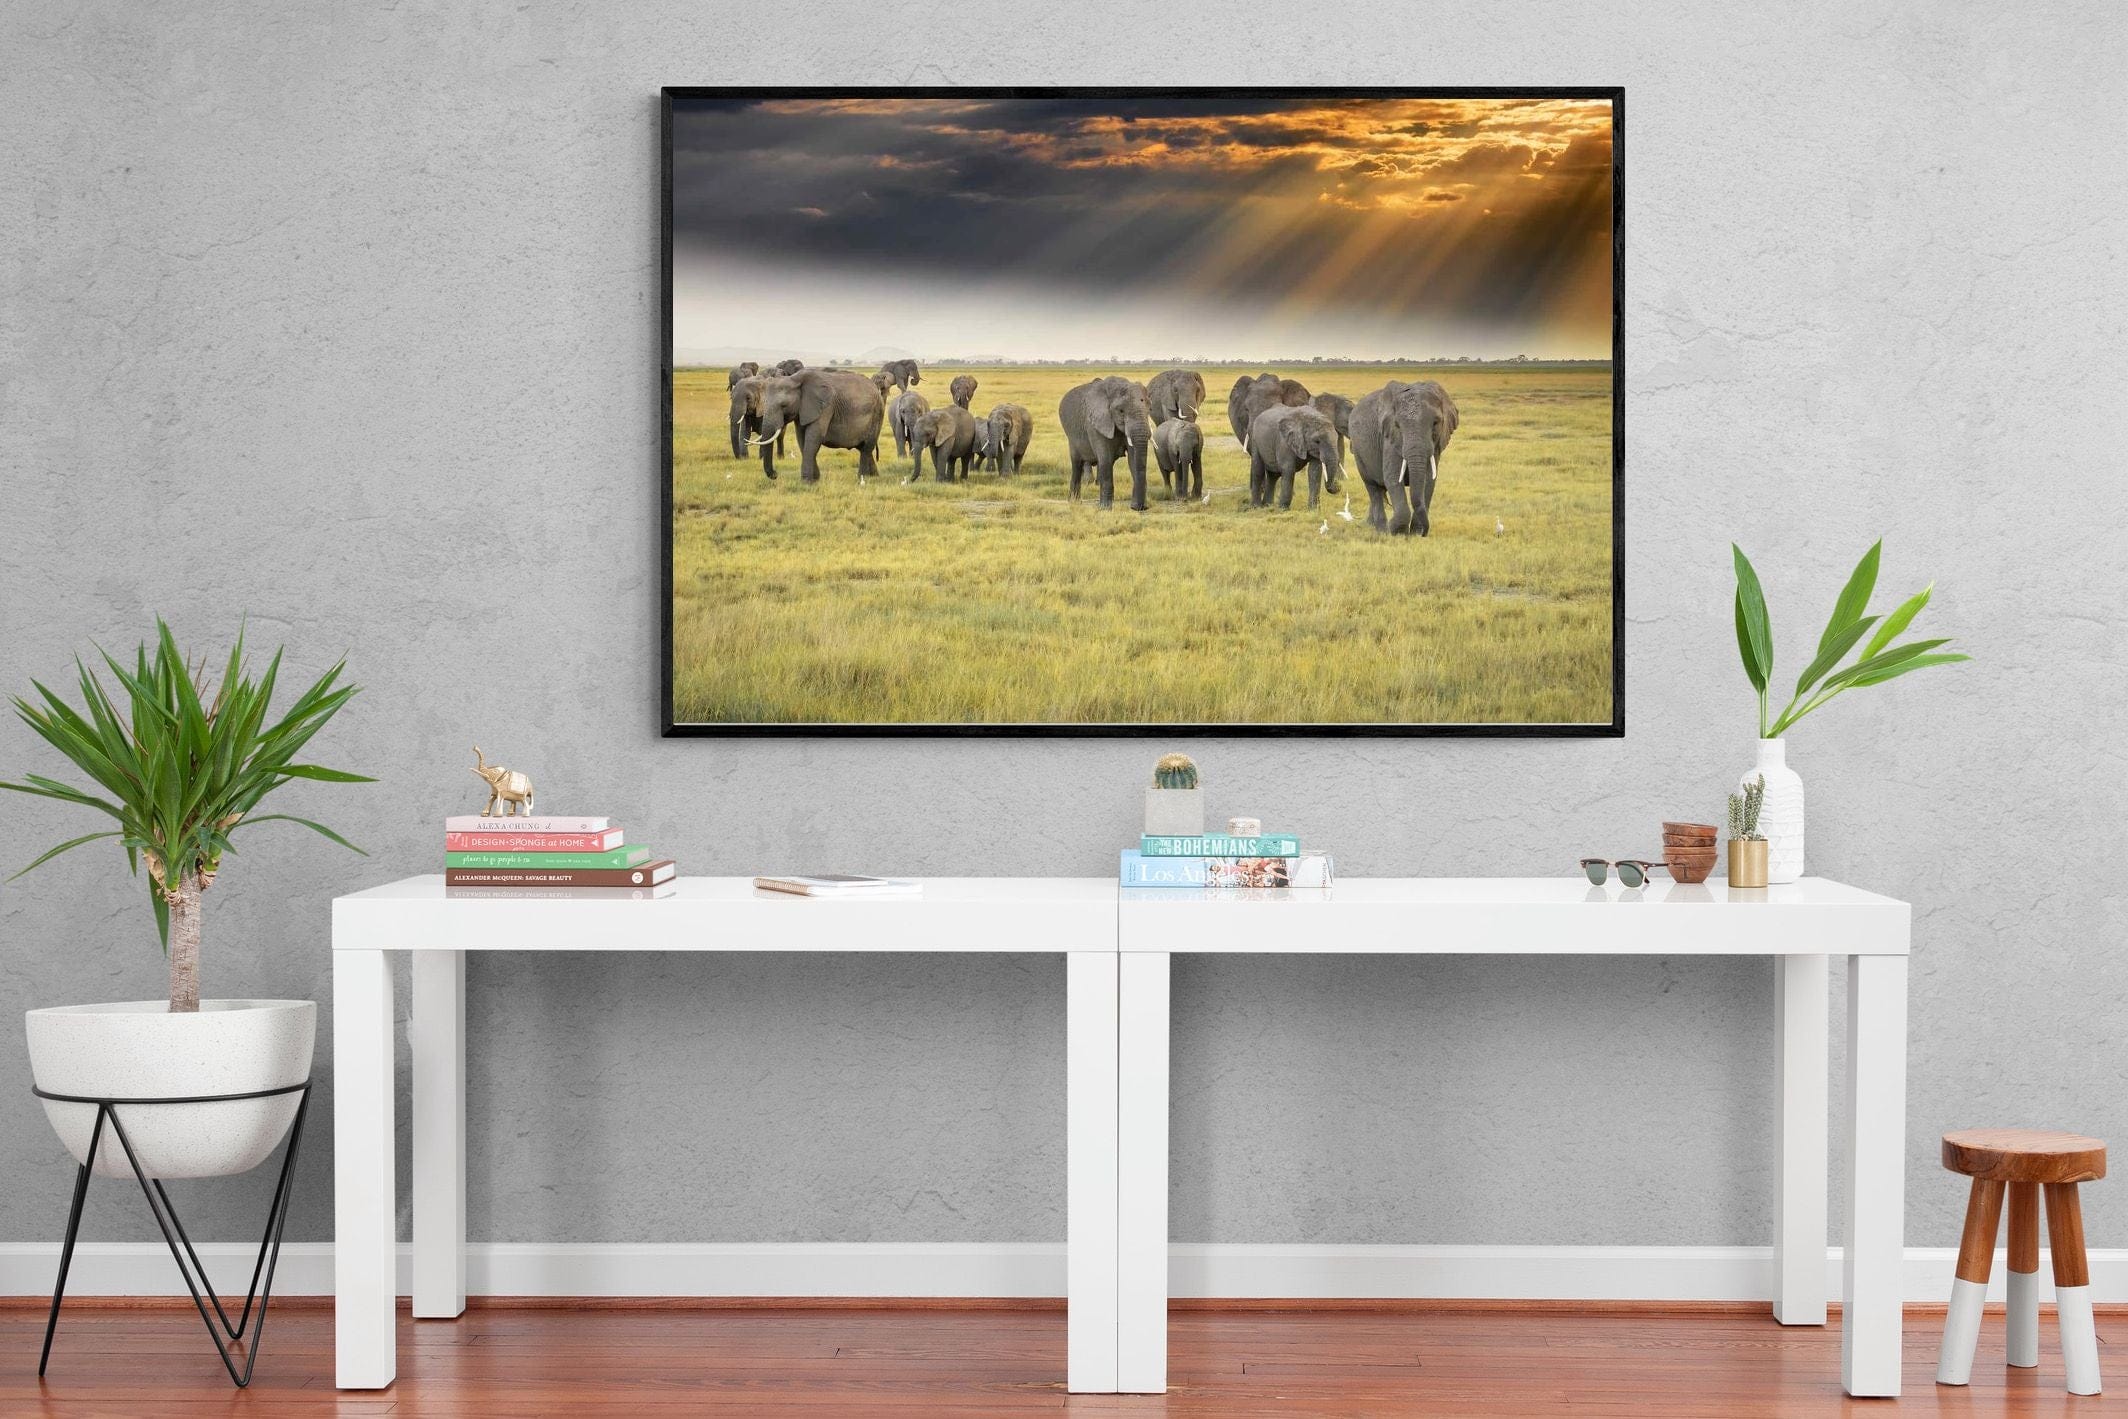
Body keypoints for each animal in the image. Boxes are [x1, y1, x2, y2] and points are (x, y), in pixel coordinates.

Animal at [749, 368, 886, 483]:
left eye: (783, 405)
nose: (775, 474)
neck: (795, 379)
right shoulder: (802, 410)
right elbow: (802, 440)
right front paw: (815, 479)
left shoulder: (825, 407)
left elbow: (813, 438)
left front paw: (806, 482)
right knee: (863, 447)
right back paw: (874, 477)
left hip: (877, 414)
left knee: (867, 447)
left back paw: (862, 478)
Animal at [1058, 376, 1153, 510]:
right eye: (1121, 411)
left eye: (1149, 409)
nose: (1140, 507)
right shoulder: (1095, 423)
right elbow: (1105, 458)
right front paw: (1105, 509)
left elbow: (1133, 459)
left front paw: (1136, 507)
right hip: (1071, 436)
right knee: (1076, 464)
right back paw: (1074, 502)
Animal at [1348, 379, 1460, 535]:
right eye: (1397, 425)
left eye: (1436, 423)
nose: (1424, 532)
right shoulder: (1389, 439)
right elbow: (1393, 478)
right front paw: (1398, 532)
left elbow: (1429, 481)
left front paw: (1416, 533)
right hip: (1358, 451)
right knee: (1373, 487)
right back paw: (1381, 530)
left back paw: (1371, 526)